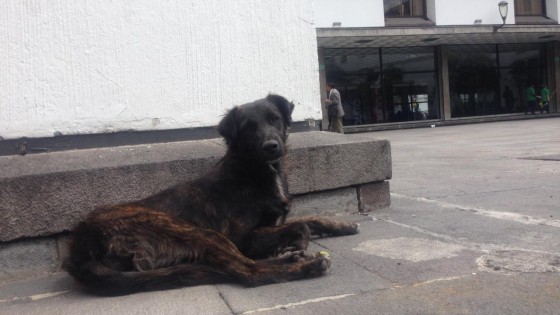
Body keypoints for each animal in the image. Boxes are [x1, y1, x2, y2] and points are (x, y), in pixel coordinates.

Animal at [62, 95, 358, 296]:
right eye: (248, 126)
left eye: (274, 118)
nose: (272, 146)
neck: (254, 172)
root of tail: (80, 247)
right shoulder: (243, 239)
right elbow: (301, 226)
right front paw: (294, 245)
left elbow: (310, 218)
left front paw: (342, 225)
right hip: (193, 231)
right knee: (249, 271)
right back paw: (304, 265)